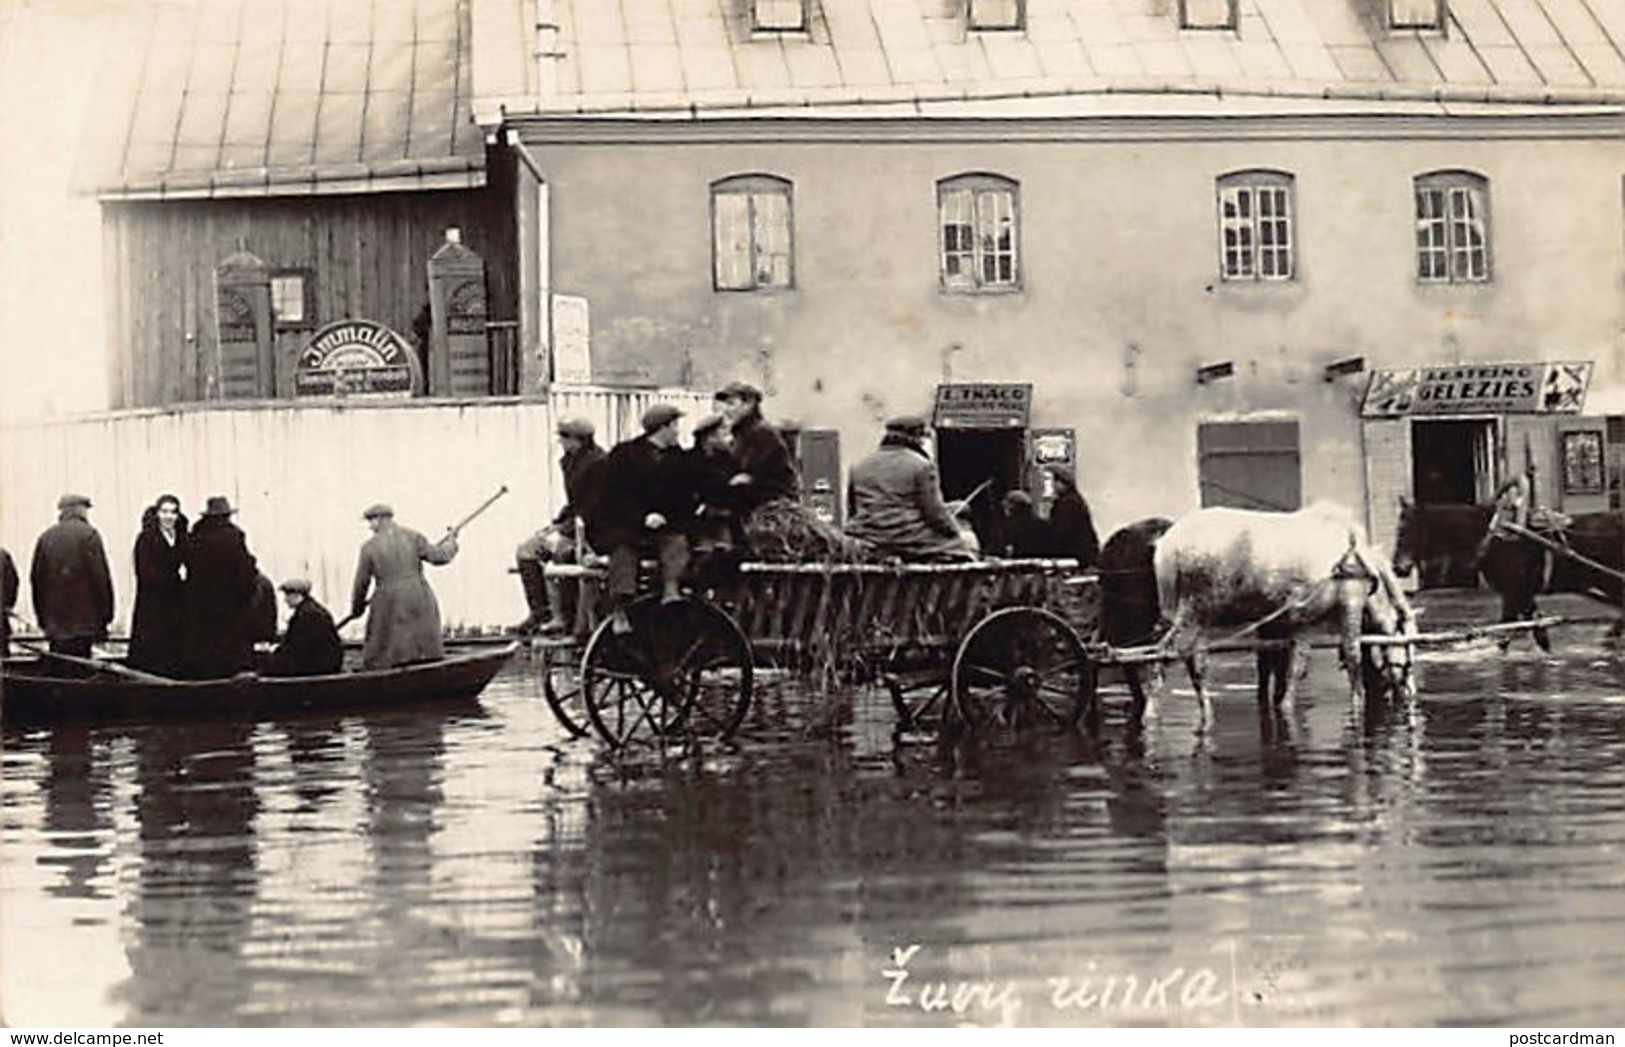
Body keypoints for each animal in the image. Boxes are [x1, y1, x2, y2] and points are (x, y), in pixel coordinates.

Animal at [1391, 497, 1618, 650]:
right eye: (1399, 529)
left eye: (1406, 530)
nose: (1398, 568)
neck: (1494, 536)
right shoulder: (1522, 594)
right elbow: (1535, 631)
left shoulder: (1512, 592)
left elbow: (1506, 631)